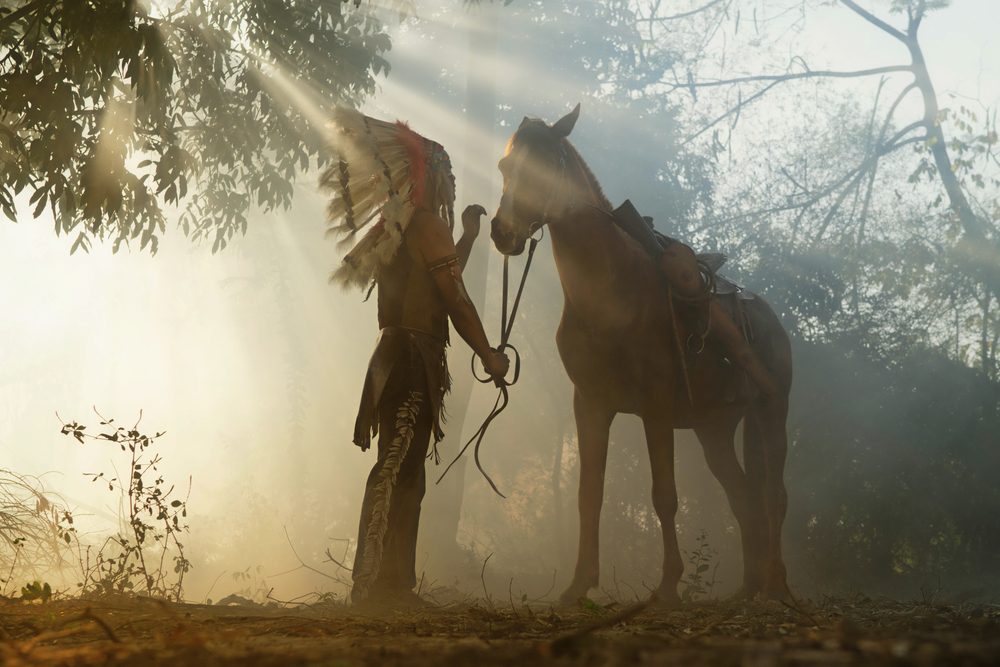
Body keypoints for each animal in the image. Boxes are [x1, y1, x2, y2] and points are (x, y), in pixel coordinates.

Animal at [488, 104, 792, 604]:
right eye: (505, 166)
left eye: (544, 167)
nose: (502, 232)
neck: (610, 293)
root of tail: (771, 318)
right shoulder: (590, 403)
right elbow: (589, 494)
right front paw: (578, 585)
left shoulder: (656, 406)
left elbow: (663, 495)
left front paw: (667, 586)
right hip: (714, 429)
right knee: (743, 496)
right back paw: (746, 591)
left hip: (771, 412)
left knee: (774, 496)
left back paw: (778, 587)